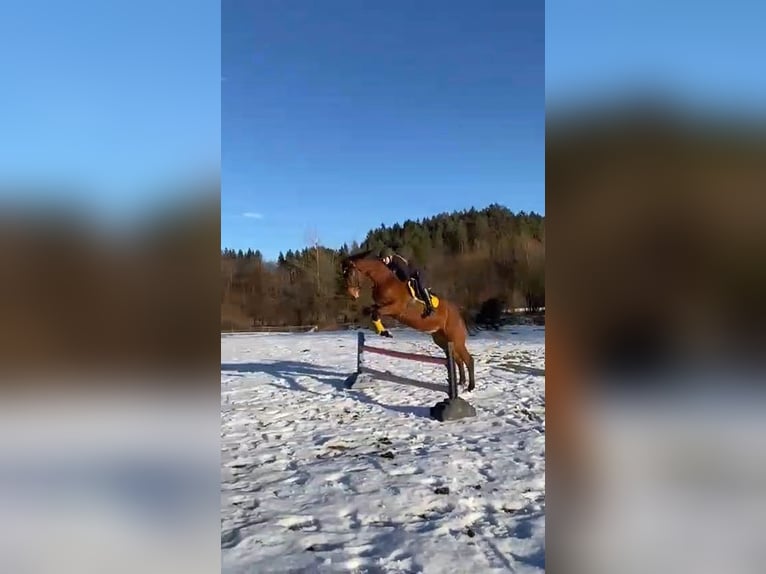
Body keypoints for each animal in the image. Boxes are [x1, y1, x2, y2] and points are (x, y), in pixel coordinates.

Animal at [341, 250, 476, 392]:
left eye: (350, 273)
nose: (353, 294)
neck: (384, 280)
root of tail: (458, 314)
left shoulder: (395, 308)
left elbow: (375, 313)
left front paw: (385, 333)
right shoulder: (380, 306)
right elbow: (370, 311)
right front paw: (382, 331)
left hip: (455, 339)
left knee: (468, 359)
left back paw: (470, 386)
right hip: (443, 341)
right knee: (458, 360)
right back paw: (461, 383)